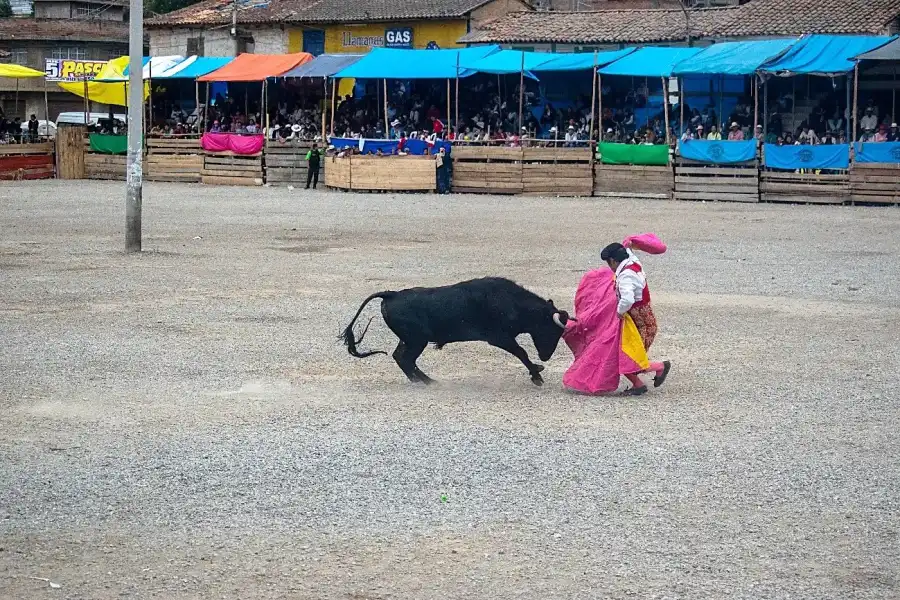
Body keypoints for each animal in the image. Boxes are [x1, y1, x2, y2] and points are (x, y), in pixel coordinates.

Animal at [342, 276, 572, 384]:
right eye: (552, 331)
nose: (545, 357)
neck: (513, 302)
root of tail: (392, 294)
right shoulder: (499, 337)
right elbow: (521, 352)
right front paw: (537, 374)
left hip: (410, 339)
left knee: (401, 357)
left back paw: (424, 380)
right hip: (417, 340)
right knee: (405, 359)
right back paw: (427, 382)